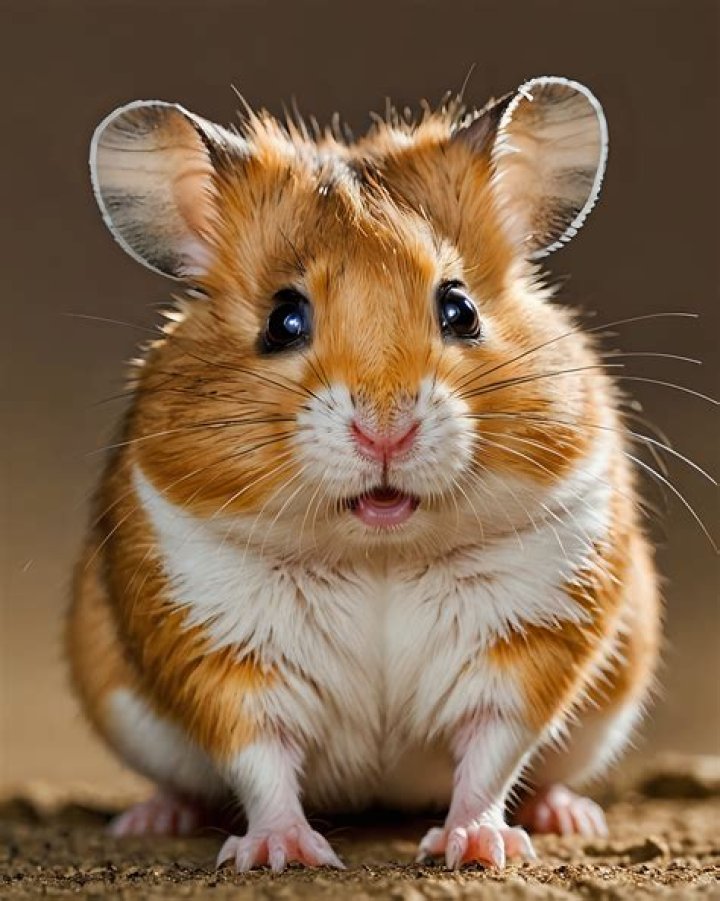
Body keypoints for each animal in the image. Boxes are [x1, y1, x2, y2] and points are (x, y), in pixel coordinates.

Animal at [67, 76, 660, 871]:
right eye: (283, 320)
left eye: (460, 309)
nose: (387, 431)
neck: (378, 550)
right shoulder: (218, 650)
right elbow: (259, 759)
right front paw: (282, 854)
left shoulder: (531, 636)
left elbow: (492, 752)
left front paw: (479, 848)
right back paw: (152, 818)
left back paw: (568, 814)